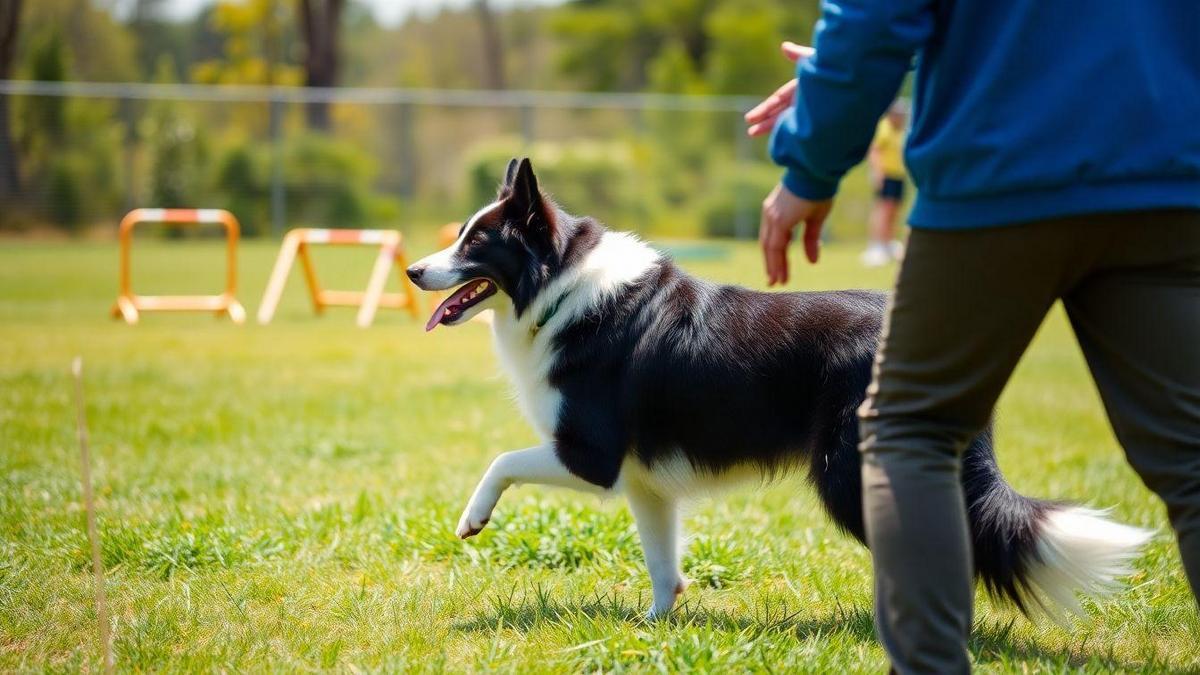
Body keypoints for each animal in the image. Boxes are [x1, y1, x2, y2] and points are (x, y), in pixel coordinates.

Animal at [408, 156, 1147, 614]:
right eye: (459, 234)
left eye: (476, 243)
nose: (414, 270)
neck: (558, 286)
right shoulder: (646, 482)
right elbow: (662, 562)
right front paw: (655, 625)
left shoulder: (590, 453)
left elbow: (501, 459)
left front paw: (472, 517)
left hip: (849, 475)